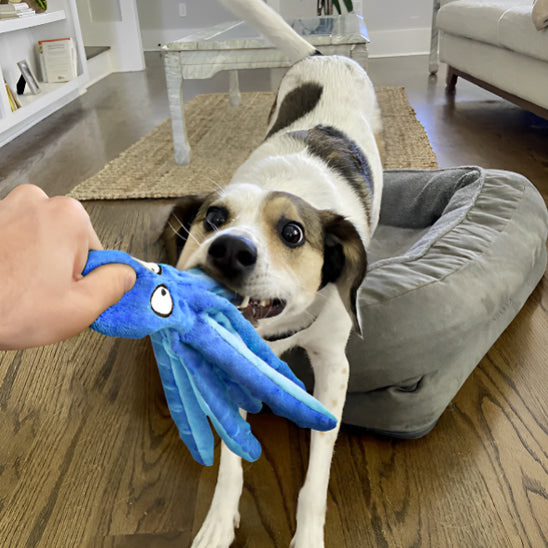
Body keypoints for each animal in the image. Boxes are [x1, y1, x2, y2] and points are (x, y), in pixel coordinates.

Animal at [165, 0, 384, 544]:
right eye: (214, 218)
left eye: (292, 232)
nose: (229, 251)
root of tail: (323, 53)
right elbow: (230, 459)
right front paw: (219, 518)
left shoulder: (334, 367)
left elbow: (318, 472)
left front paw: (307, 535)